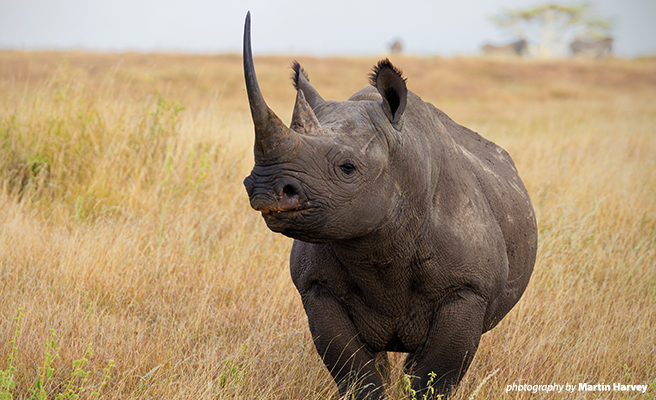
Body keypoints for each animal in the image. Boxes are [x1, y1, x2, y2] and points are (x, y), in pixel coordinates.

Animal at [241, 12, 537, 399]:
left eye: (347, 168)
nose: (264, 188)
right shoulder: (318, 286)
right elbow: (357, 373)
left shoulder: (468, 289)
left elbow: (435, 376)